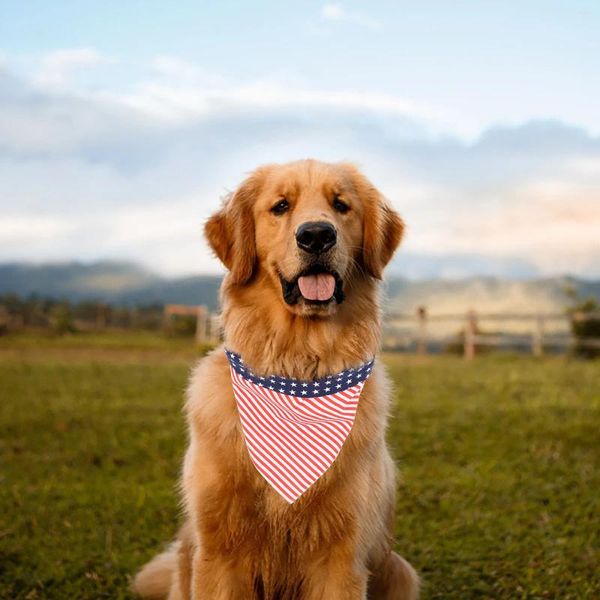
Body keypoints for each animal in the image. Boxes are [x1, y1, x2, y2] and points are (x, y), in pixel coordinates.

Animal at [134, 161, 420, 600]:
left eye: (341, 205)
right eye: (281, 206)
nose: (317, 235)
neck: (295, 371)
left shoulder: (341, 557)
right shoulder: (219, 552)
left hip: (399, 570)